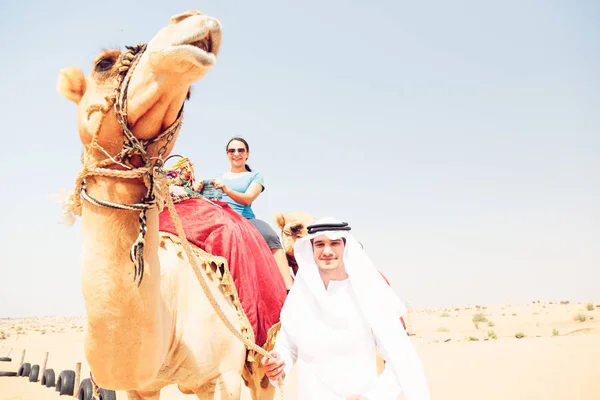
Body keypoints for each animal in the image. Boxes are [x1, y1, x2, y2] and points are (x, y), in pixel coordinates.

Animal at [56, 9, 282, 400]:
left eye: (188, 94)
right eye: (103, 64)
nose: (193, 17)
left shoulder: (222, 376)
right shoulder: (141, 386)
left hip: (262, 354)